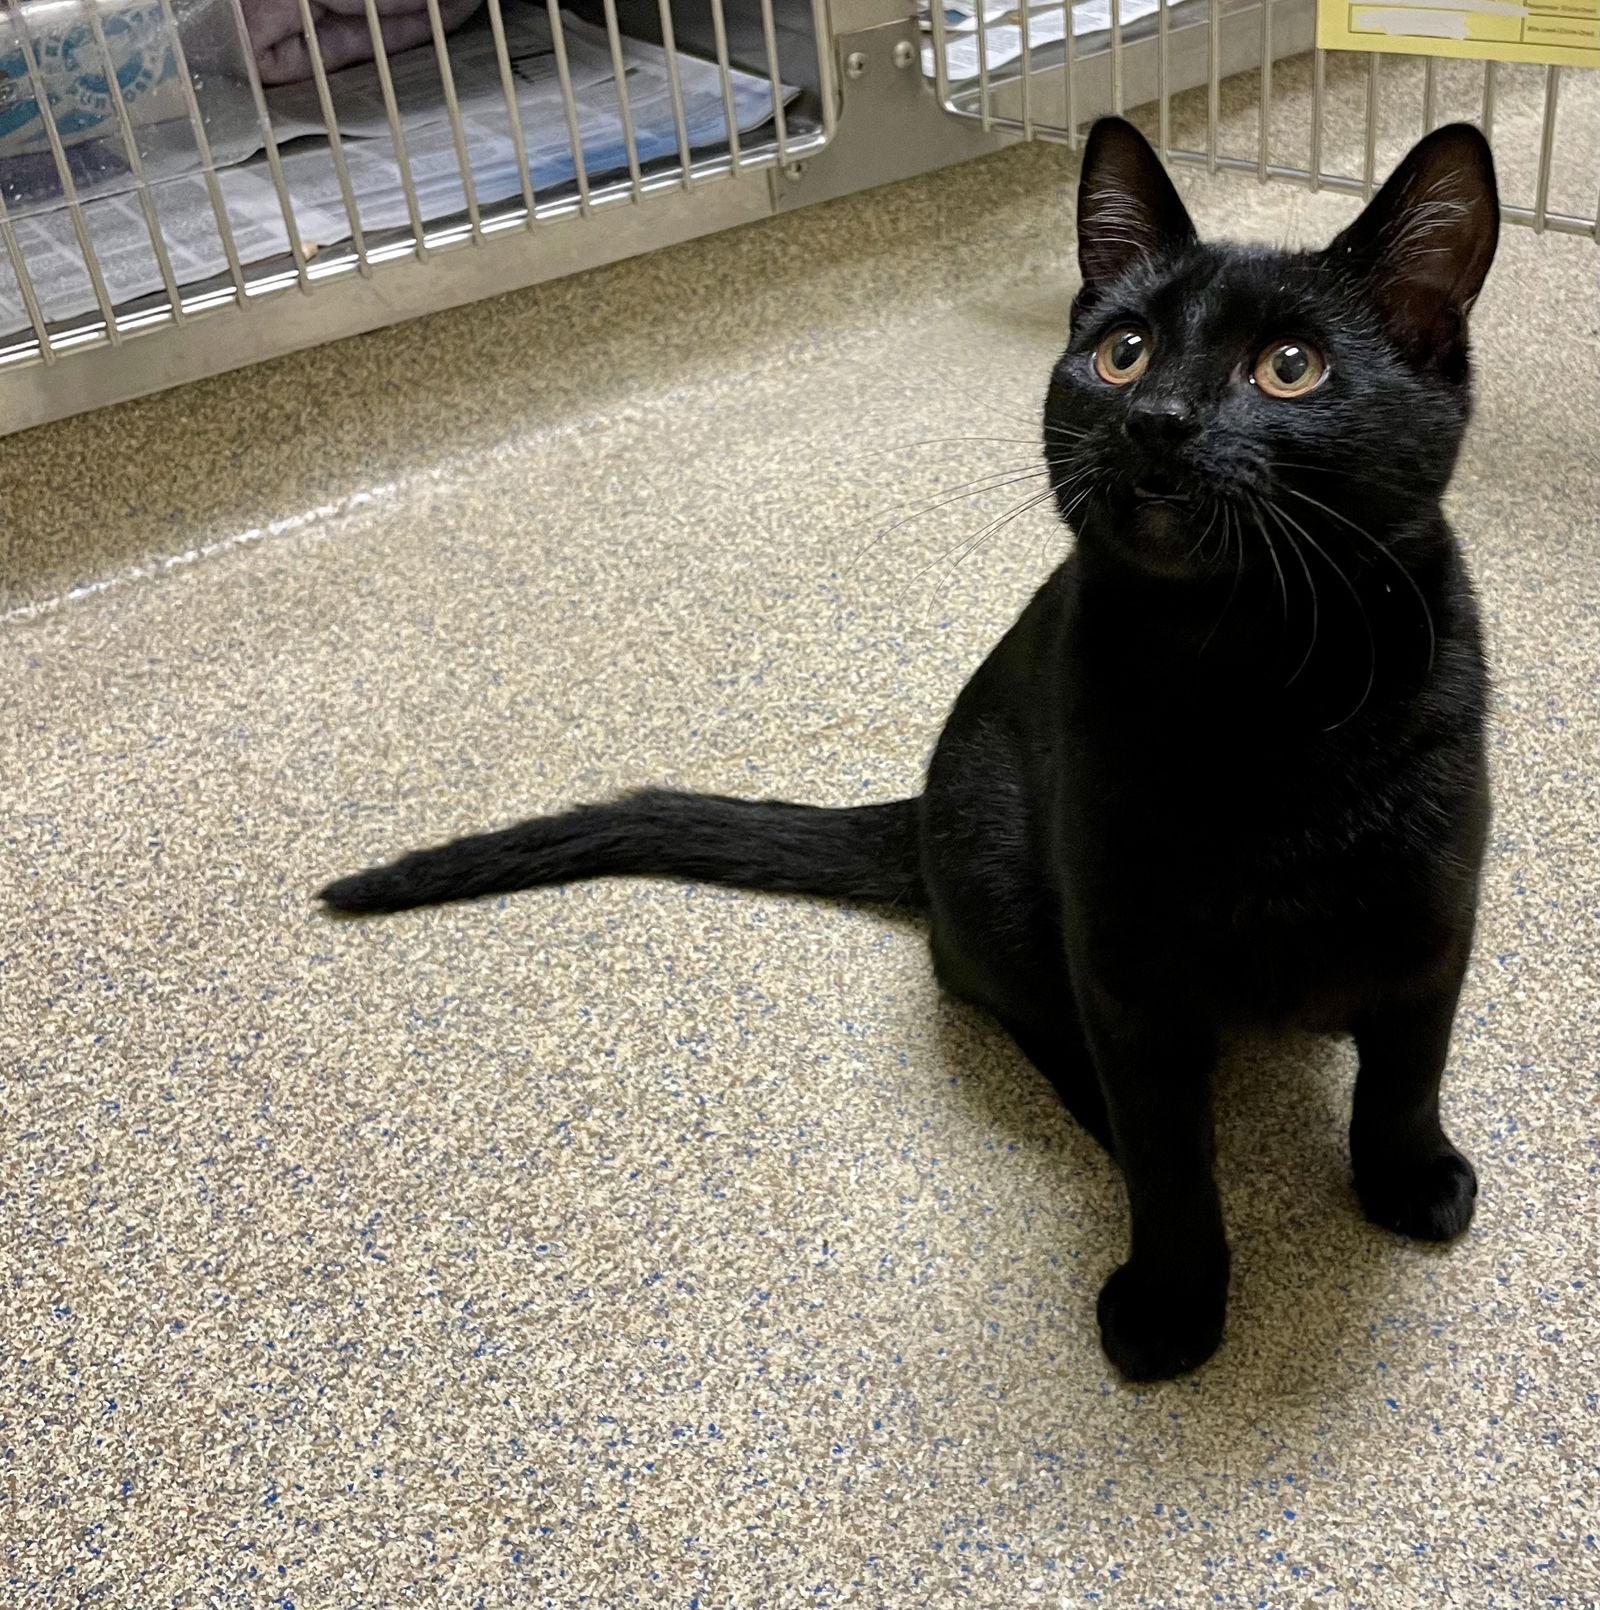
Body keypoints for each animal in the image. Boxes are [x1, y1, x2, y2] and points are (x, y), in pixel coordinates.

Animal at [325, 119, 1493, 1384]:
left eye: (1289, 367)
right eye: (1123, 352)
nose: (1156, 417)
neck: (1253, 678)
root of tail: (922, 805)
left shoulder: (1434, 915)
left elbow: (1405, 1073)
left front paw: (1408, 1178)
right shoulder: (1123, 962)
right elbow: (1171, 1158)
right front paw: (1175, 1301)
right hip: (1007, 878)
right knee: (1020, 1011)